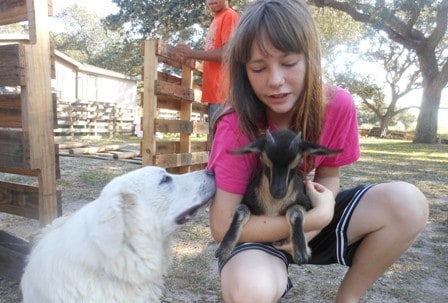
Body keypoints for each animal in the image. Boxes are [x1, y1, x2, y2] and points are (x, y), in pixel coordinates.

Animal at [215, 129, 342, 264]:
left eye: (296, 164)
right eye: (265, 161)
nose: (278, 192)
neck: (273, 204)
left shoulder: (305, 203)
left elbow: (295, 213)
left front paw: (301, 250)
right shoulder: (248, 200)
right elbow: (240, 211)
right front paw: (224, 248)